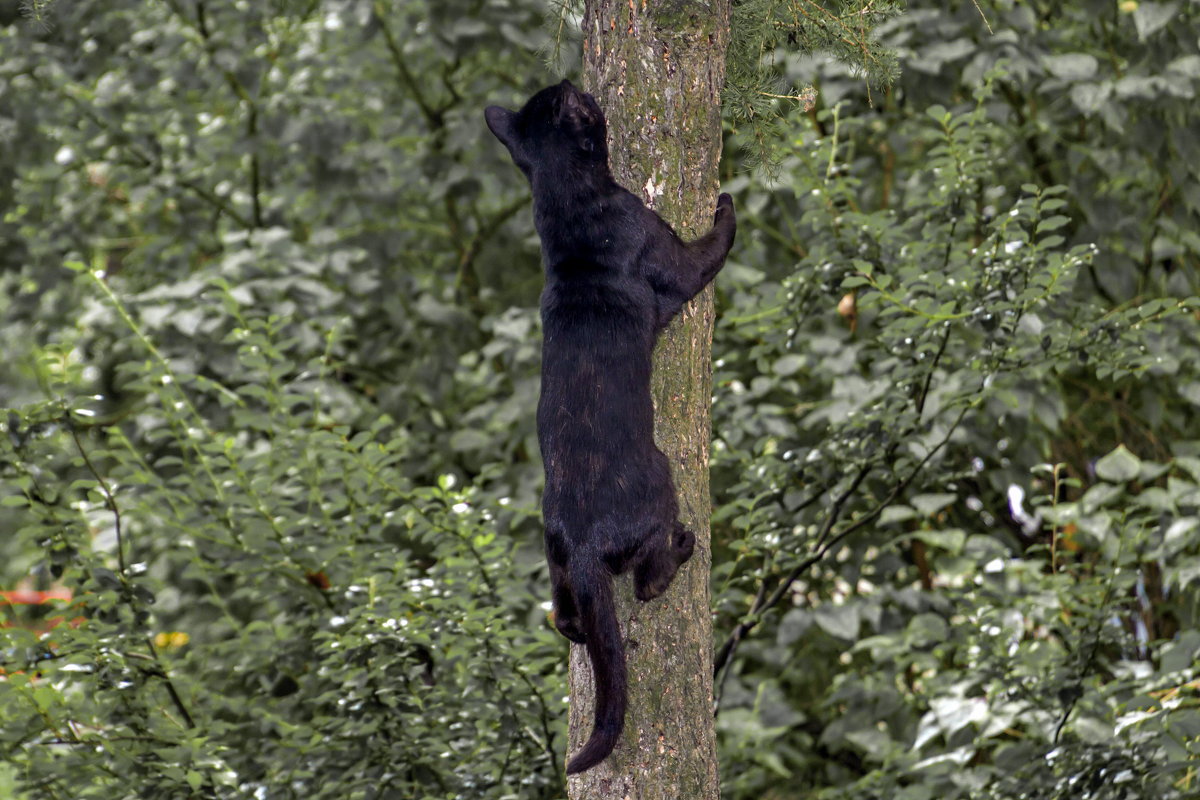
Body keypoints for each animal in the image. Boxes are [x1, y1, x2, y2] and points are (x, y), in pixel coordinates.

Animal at [484, 81, 729, 777]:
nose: (576, 83)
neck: (569, 215)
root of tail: (588, 542)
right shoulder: (663, 245)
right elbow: (710, 248)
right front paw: (729, 201)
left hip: (555, 557)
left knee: (567, 611)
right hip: (662, 484)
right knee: (648, 579)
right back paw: (683, 548)